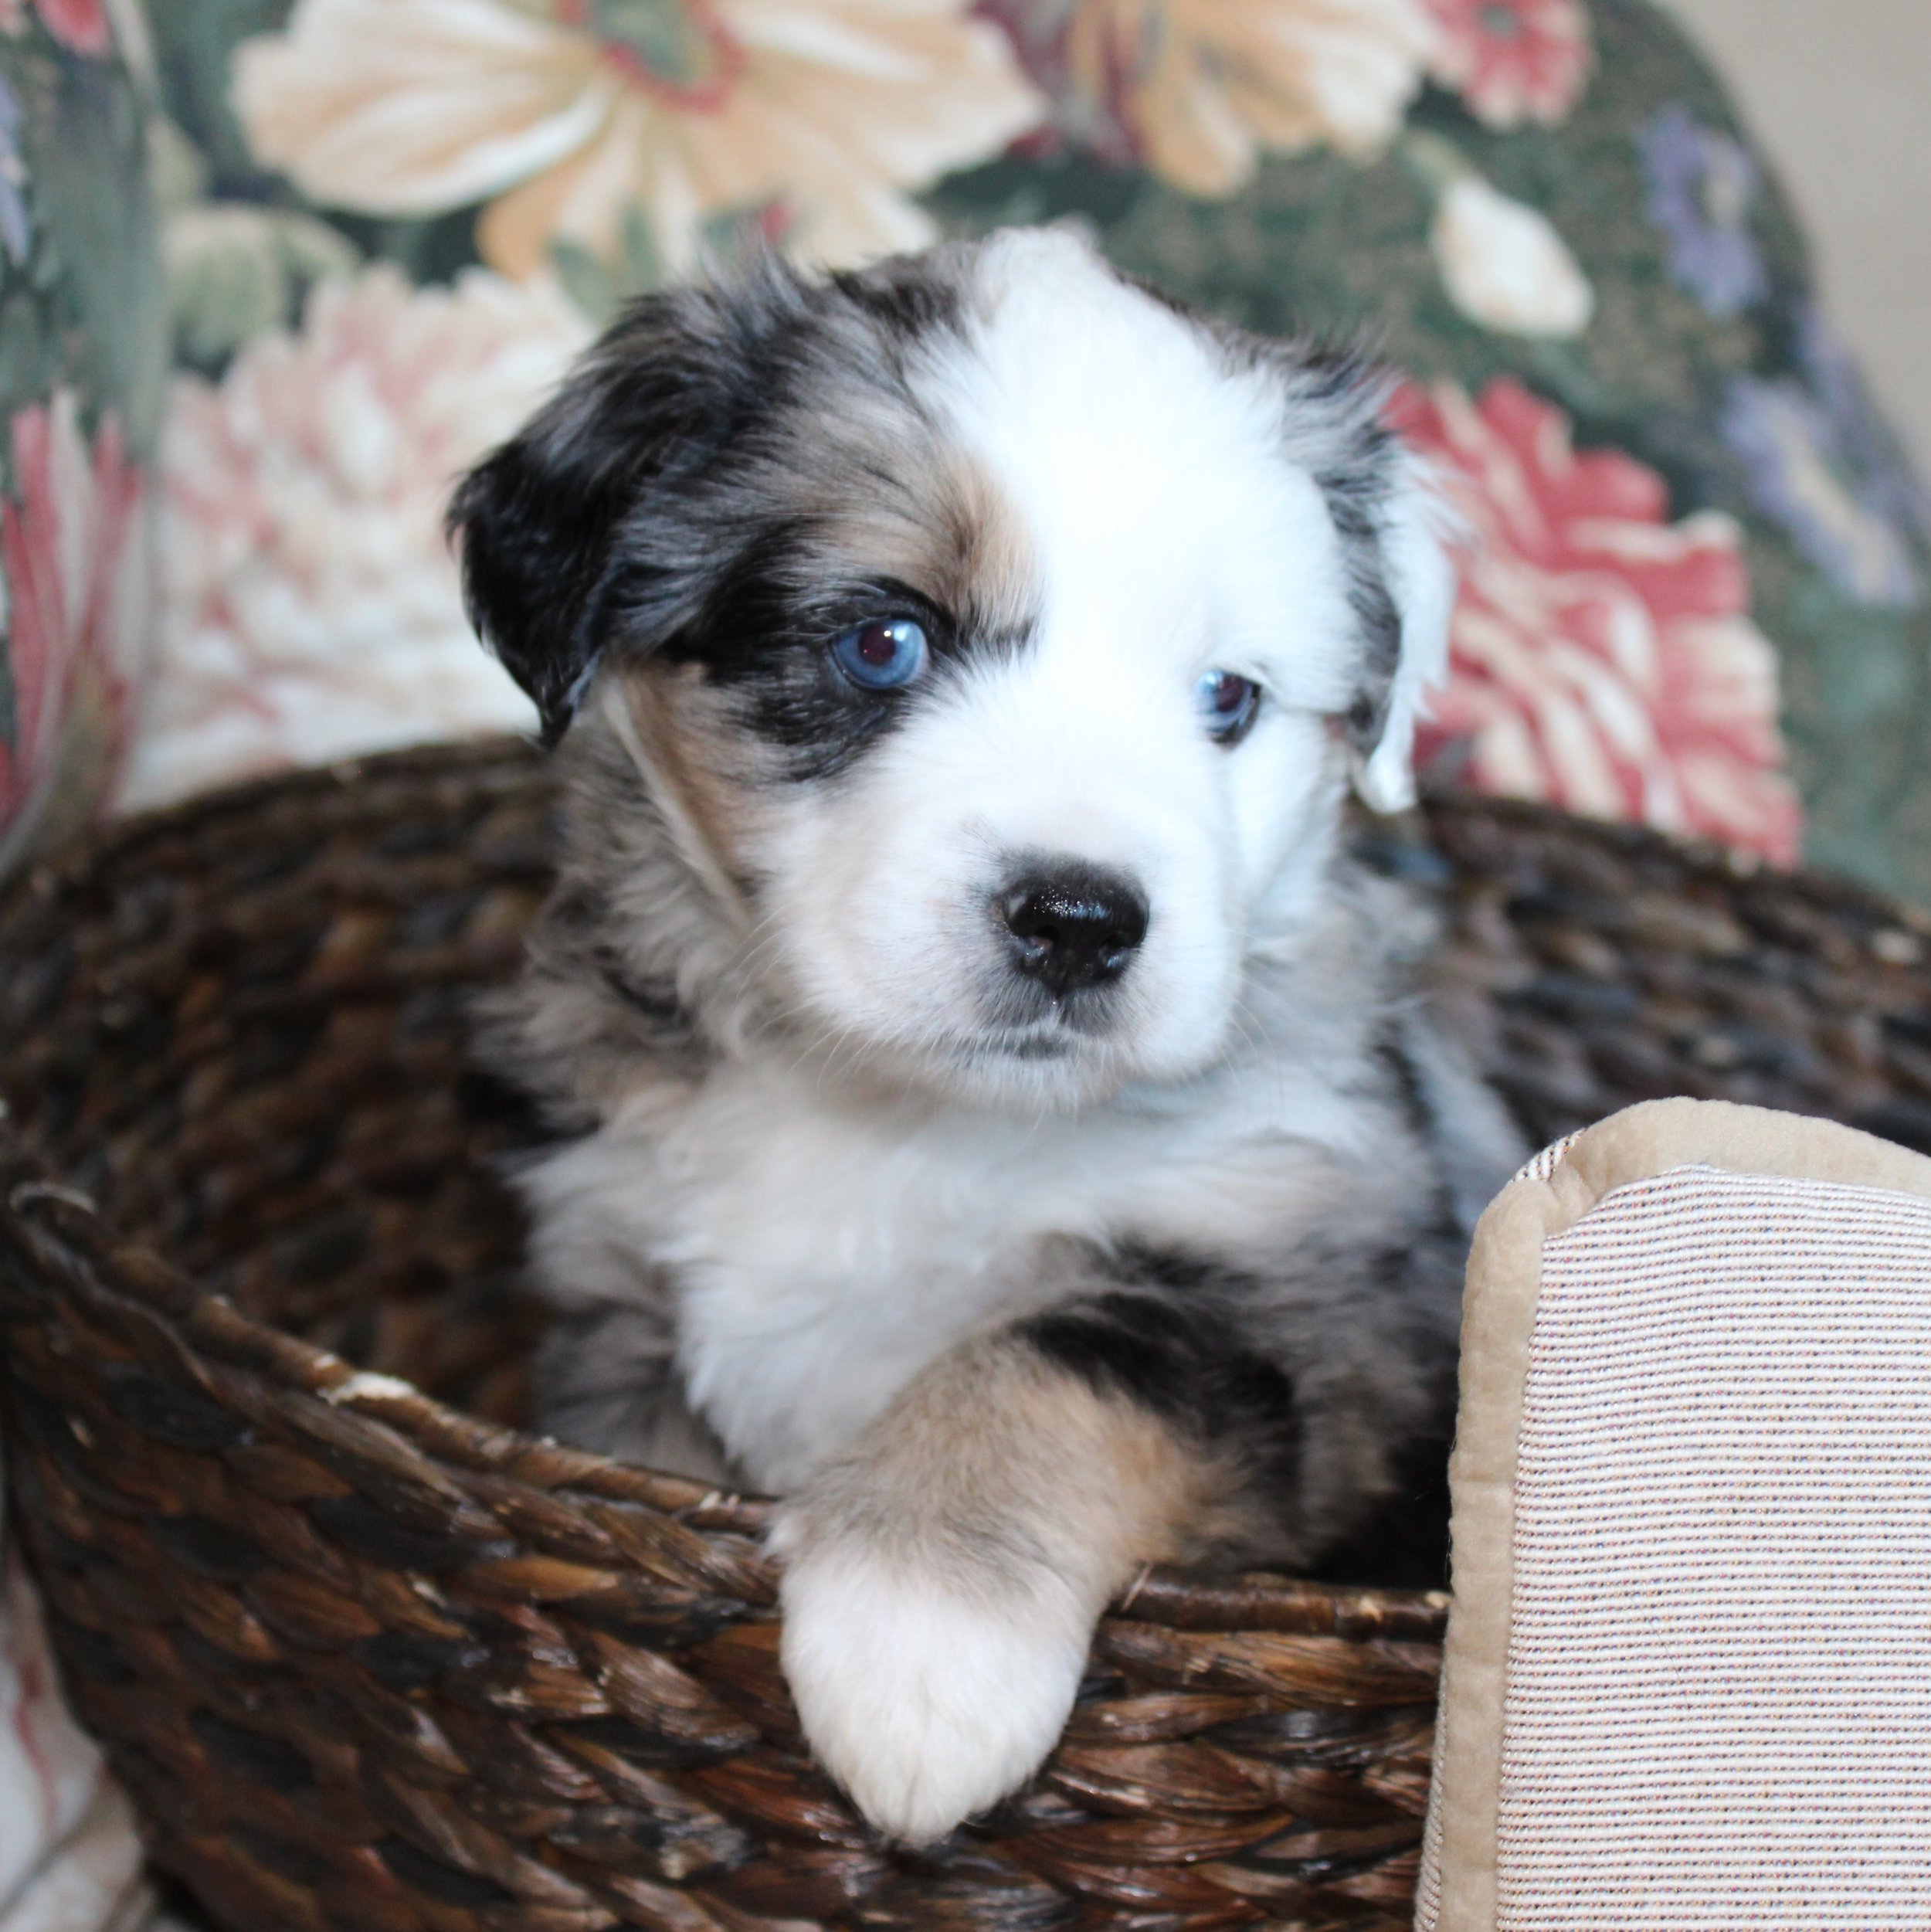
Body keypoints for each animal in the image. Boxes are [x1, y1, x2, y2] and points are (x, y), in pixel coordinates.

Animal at [452, 229, 1522, 1854]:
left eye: (1228, 699)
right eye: (884, 642)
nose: (1080, 921)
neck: (904, 1118)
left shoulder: (1313, 1305)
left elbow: (1055, 1352)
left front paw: (917, 1646)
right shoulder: (616, 1301)